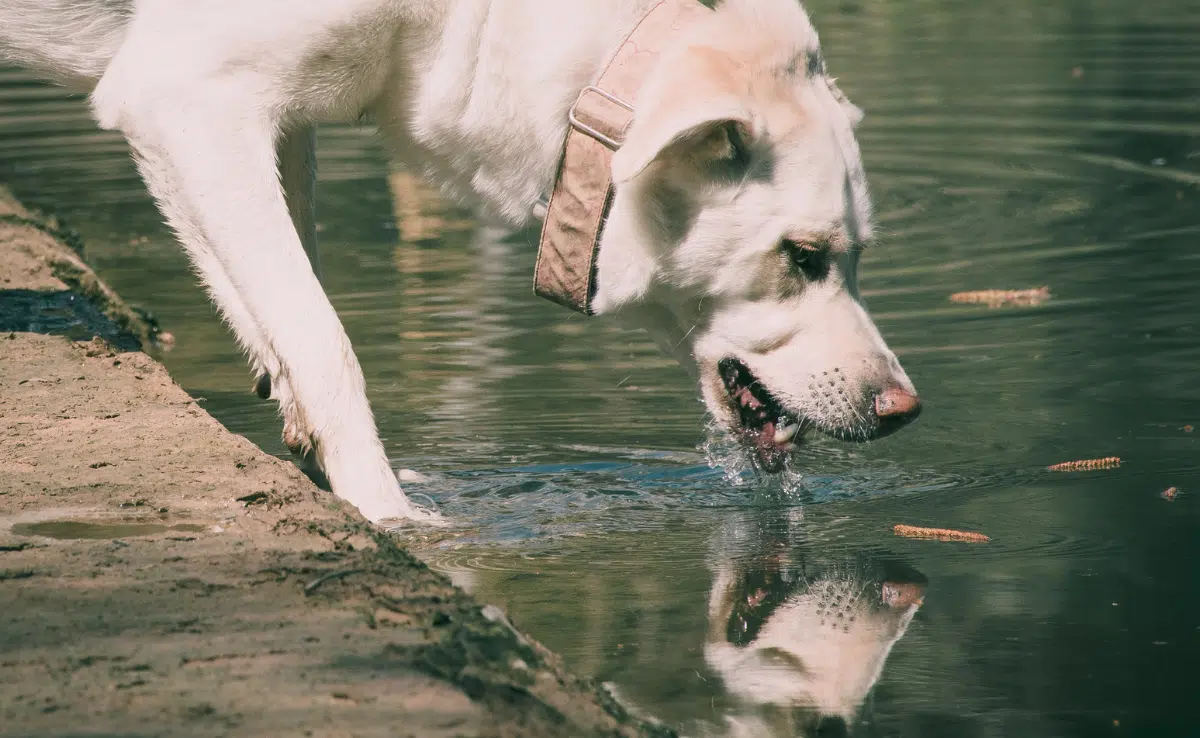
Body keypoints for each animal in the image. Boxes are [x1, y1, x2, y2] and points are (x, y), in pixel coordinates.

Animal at [0, 0, 916, 525]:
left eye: (860, 256)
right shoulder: (190, 92)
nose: (904, 410)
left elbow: (281, 301)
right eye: (803, 256)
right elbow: (324, 338)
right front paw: (388, 513)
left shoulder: (256, 120)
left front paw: (318, 454)